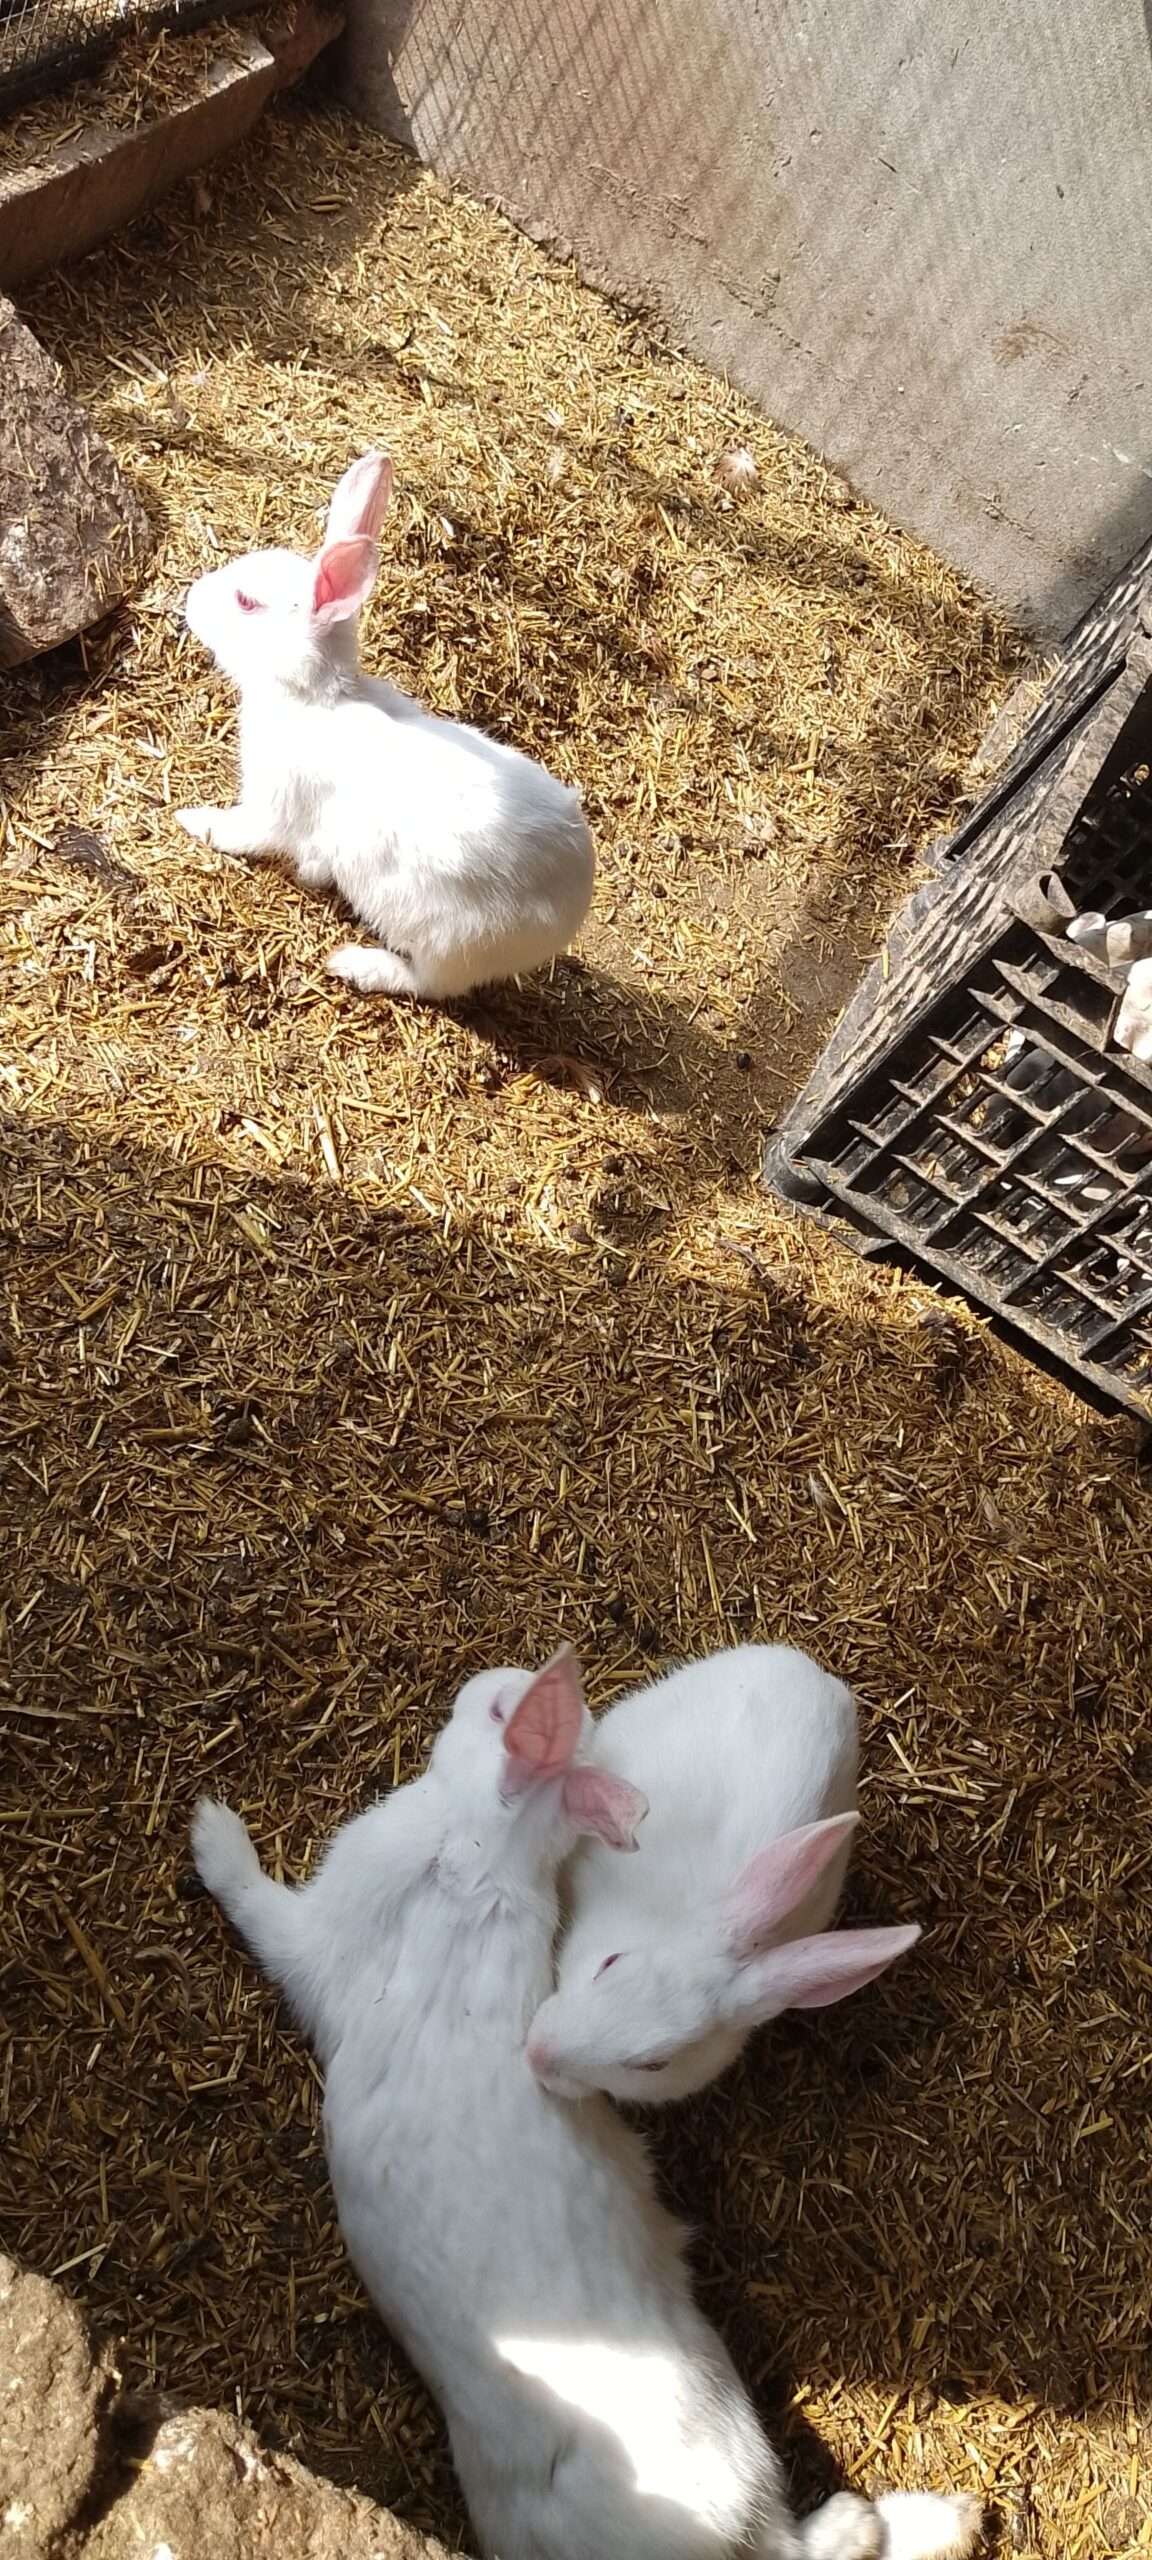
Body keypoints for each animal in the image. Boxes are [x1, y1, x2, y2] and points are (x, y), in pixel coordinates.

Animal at [176, 451, 595, 1001]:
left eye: (245, 601)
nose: (192, 596)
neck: (313, 697)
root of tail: (569, 912)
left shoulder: (272, 806)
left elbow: (244, 833)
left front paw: (192, 819)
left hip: (443, 940)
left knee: (427, 983)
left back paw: (355, 964)